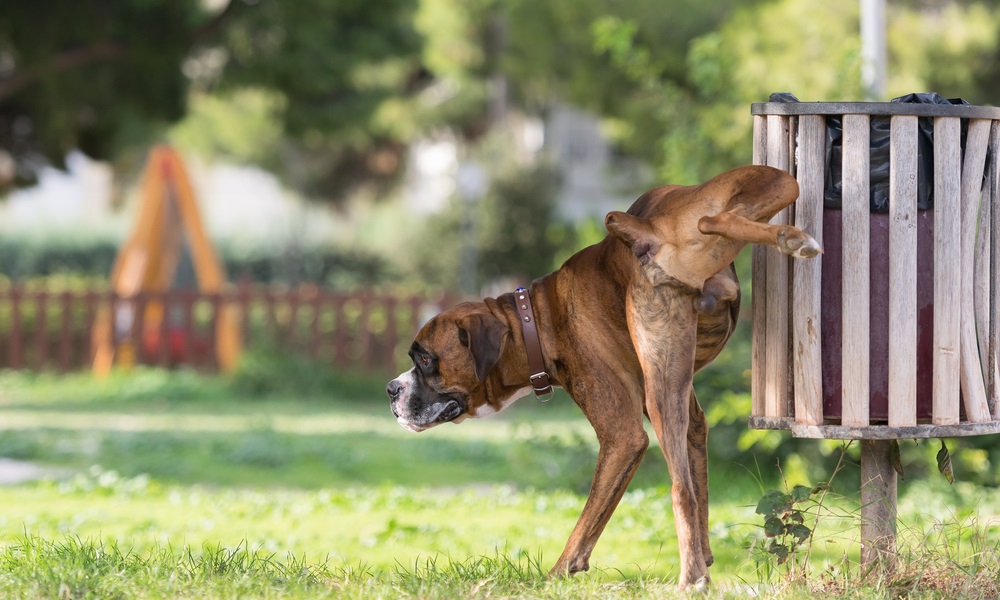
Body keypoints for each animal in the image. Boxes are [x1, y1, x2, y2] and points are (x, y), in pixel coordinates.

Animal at [386, 163, 816, 584]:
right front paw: (706, 556)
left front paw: (558, 573)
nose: (391, 388)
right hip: (773, 185)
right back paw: (790, 238)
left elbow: (589, 519)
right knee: (717, 218)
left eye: (425, 359)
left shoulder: (622, 437)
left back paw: (689, 578)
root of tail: (647, 228)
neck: (535, 319)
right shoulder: (691, 419)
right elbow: (700, 487)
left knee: (679, 491)